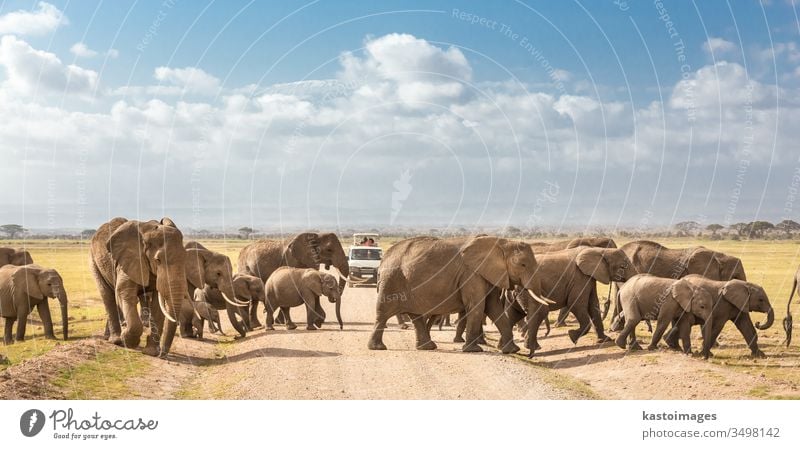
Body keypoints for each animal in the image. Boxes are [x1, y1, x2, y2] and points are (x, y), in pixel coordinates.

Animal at [88, 217, 188, 356]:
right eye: (158, 260)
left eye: (185, 258)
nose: (162, 354)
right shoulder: (127, 261)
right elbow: (125, 293)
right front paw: (127, 341)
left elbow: (157, 304)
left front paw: (150, 352)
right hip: (95, 262)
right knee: (108, 296)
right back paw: (116, 340)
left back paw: (109, 337)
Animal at [370, 234, 552, 354]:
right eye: (523, 264)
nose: (530, 353)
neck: (500, 242)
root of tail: (383, 259)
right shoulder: (471, 275)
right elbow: (478, 307)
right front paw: (474, 350)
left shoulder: (487, 274)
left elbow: (494, 308)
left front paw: (512, 350)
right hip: (391, 281)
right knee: (383, 313)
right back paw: (378, 348)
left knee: (415, 316)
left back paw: (428, 347)